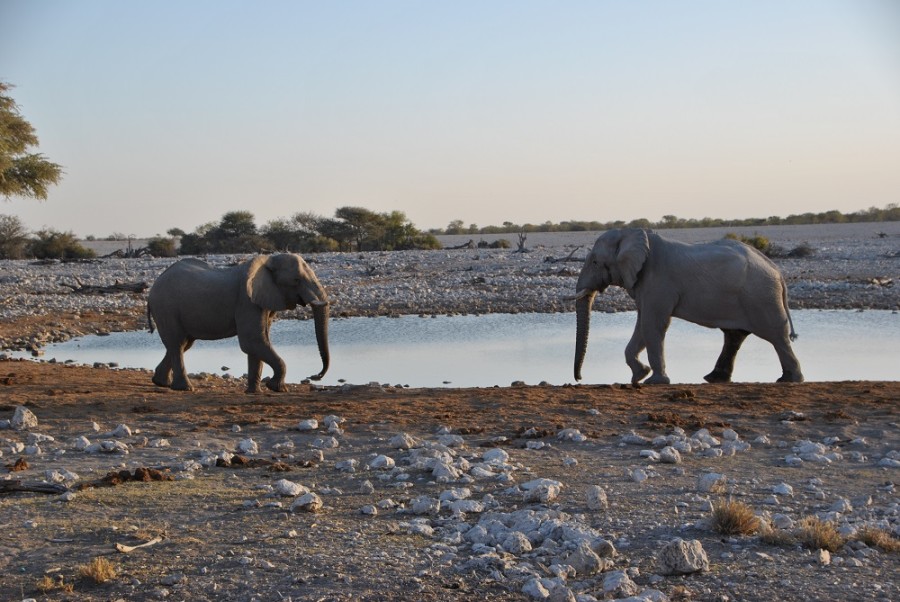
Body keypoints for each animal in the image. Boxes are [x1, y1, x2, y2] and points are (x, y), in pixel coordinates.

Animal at [148, 252, 330, 390]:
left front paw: (254, 392)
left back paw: (161, 383)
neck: (269, 261)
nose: (315, 375)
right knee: (177, 343)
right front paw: (277, 388)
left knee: (183, 344)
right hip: (166, 308)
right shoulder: (246, 301)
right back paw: (185, 388)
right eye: (296, 280)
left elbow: (259, 342)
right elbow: (252, 341)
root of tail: (152, 288)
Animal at [568, 227, 800, 382]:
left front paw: (654, 381)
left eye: (595, 262)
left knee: (776, 336)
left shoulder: (658, 281)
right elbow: (643, 325)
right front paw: (640, 375)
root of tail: (777, 272)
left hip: (761, 297)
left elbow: (653, 324)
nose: (579, 379)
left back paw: (790, 379)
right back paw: (714, 378)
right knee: (735, 336)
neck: (634, 234)